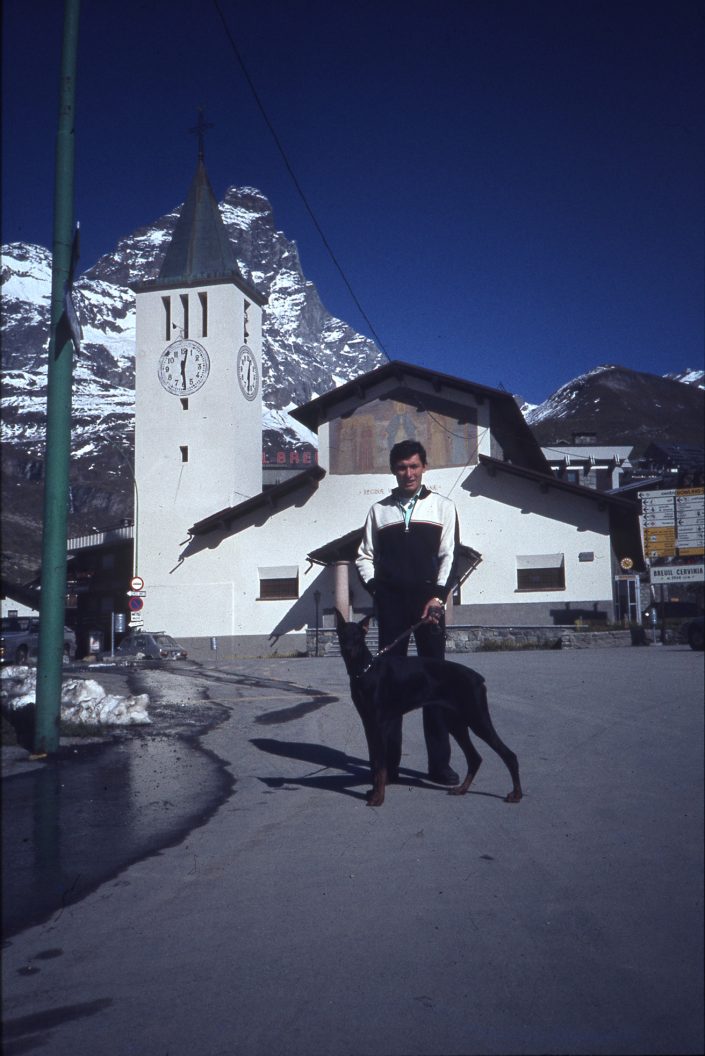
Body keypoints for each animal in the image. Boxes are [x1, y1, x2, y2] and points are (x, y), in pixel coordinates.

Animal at [335, 612, 523, 806]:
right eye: (342, 635)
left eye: (358, 637)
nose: (347, 650)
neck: (365, 670)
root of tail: (478, 678)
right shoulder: (369, 724)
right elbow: (375, 763)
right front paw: (373, 792)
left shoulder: (379, 725)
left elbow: (380, 765)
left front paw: (379, 797)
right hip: (455, 723)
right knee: (474, 758)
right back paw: (462, 789)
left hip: (477, 718)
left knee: (509, 755)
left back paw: (516, 794)